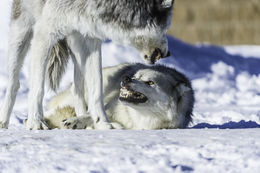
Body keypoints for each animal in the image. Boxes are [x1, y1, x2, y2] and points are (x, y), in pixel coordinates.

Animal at [0, 0, 175, 130]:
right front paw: (36, 122)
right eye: (166, 27)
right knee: (14, 84)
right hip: (21, 34)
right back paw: (4, 122)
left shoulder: (92, 40)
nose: (167, 54)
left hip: (77, 44)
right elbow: (38, 88)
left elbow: (96, 87)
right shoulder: (44, 33)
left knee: (77, 89)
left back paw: (79, 119)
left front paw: (102, 123)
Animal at [45, 63, 195, 130]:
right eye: (136, 77)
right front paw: (74, 121)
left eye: (150, 82)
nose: (126, 78)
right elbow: (92, 116)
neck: (137, 118)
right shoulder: (108, 107)